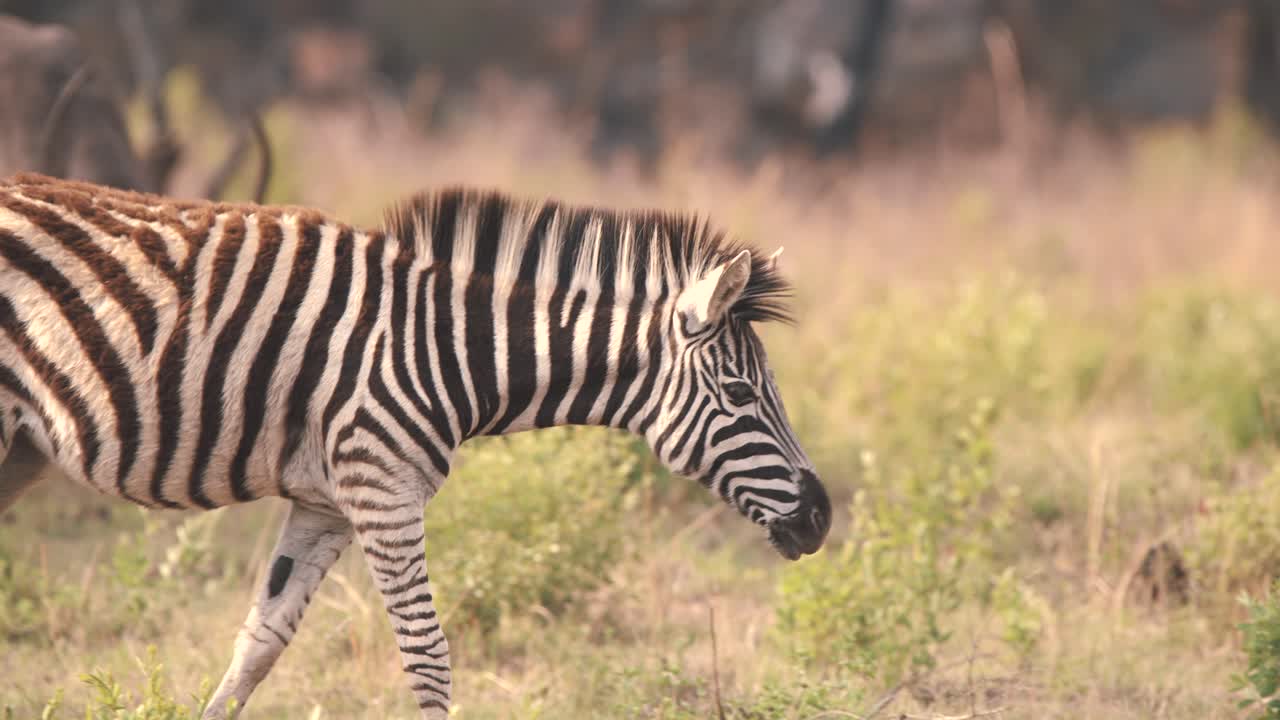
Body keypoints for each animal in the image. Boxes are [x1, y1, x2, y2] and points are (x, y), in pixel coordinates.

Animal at [0, 172, 831, 718]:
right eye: (740, 396)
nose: (822, 518)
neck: (448, 348)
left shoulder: (326, 503)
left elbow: (259, 643)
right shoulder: (382, 486)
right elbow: (428, 653)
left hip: (21, 449)